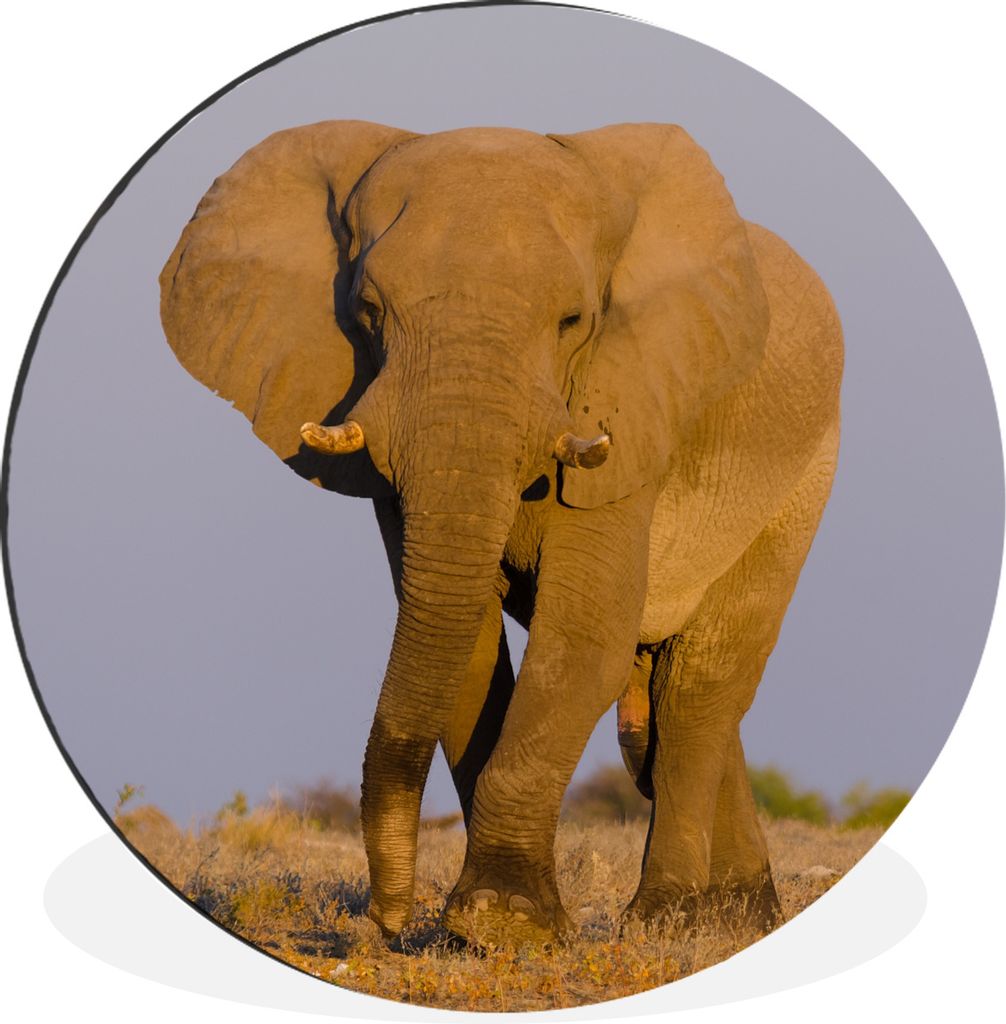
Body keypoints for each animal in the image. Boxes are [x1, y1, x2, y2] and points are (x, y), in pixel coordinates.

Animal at [159, 120, 843, 946]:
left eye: (573, 322)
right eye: (369, 311)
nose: (388, 922)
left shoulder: (632, 417)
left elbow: (583, 640)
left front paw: (502, 924)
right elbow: (472, 649)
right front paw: (483, 931)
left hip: (802, 478)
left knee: (701, 685)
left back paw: (669, 923)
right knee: (661, 687)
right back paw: (737, 919)